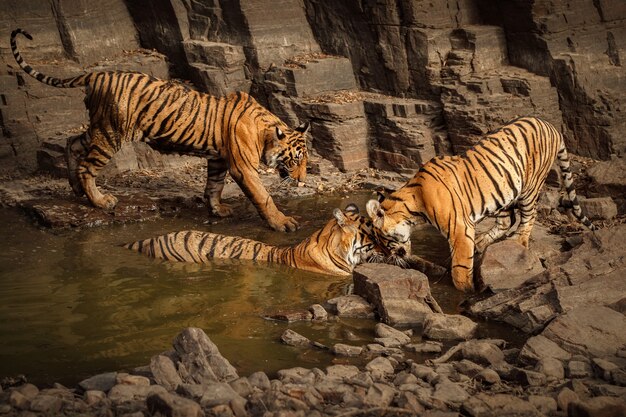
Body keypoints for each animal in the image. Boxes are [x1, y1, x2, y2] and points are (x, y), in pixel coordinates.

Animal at [11, 28, 308, 232]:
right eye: (295, 161)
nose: (303, 181)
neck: (266, 130)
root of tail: (97, 74)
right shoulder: (243, 167)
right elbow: (263, 196)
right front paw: (283, 222)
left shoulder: (218, 158)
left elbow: (214, 186)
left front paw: (217, 210)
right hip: (111, 133)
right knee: (87, 166)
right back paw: (101, 201)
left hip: (100, 127)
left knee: (72, 142)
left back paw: (75, 189)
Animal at [366, 116, 596, 292]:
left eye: (383, 240)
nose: (390, 258)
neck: (413, 206)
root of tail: (551, 126)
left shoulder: (459, 229)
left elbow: (459, 268)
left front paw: (467, 291)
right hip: (504, 192)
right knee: (506, 221)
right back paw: (481, 242)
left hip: (530, 186)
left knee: (529, 216)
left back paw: (518, 241)